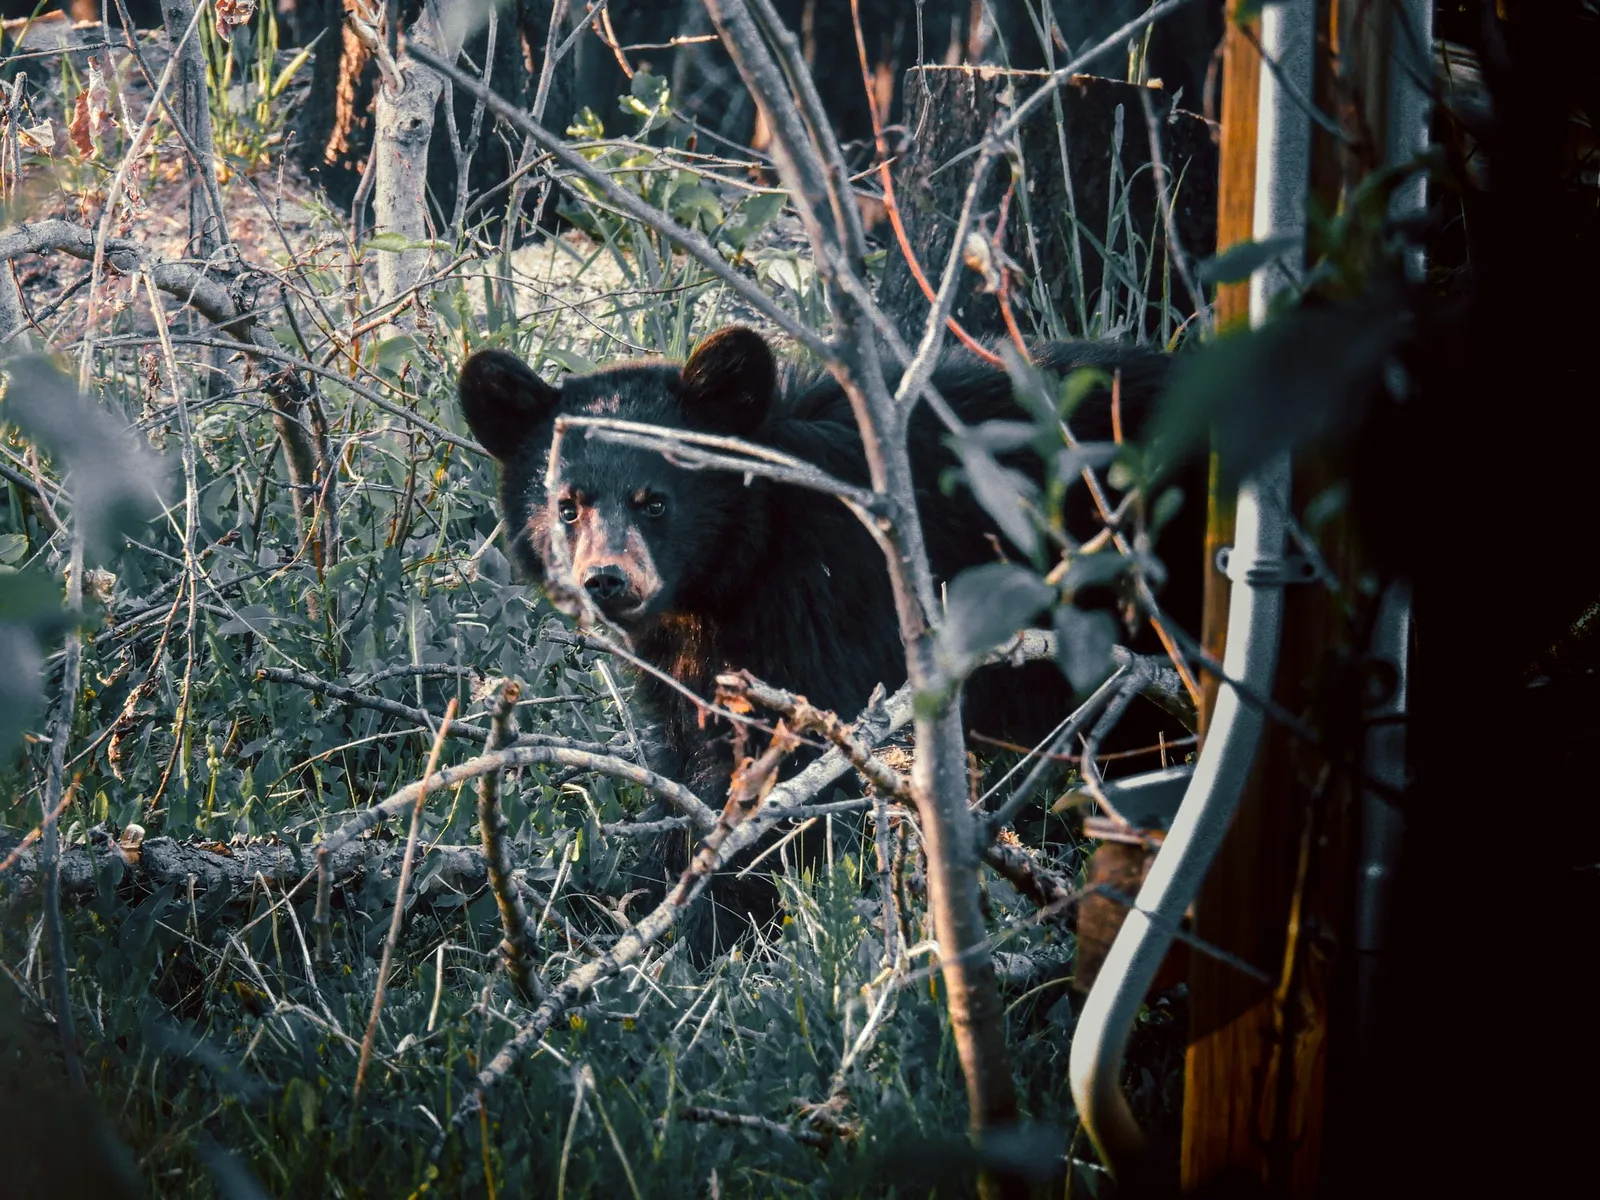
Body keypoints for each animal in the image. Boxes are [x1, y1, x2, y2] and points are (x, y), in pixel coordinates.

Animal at [457, 326, 1199, 953]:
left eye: (655, 501)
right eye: (567, 506)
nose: (606, 580)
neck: (743, 564)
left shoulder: (826, 604)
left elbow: (788, 770)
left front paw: (714, 923)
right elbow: (692, 748)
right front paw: (642, 896)